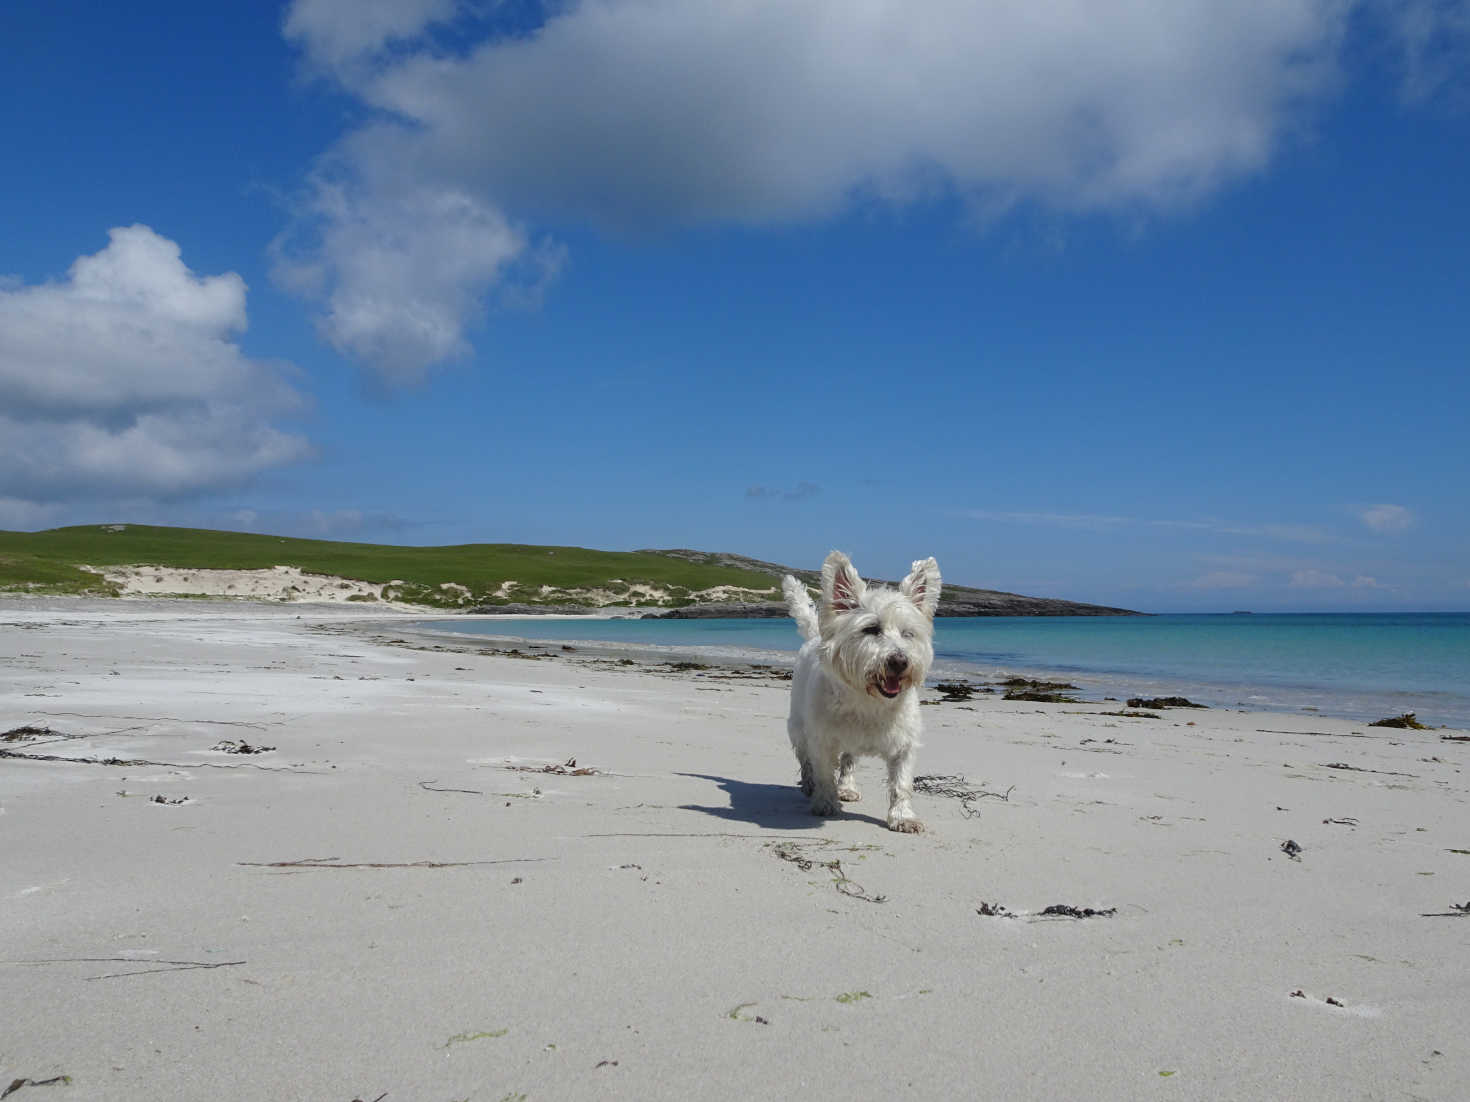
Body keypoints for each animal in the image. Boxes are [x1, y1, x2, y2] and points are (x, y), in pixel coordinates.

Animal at [782, 552, 940, 834]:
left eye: (908, 634)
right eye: (872, 629)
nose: (900, 661)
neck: (869, 701)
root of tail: (814, 636)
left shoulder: (904, 745)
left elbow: (901, 784)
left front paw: (903, 817)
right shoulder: (822, 738)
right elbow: (823, 772)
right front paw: (825, 803)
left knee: (848, 761)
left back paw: (846, 788)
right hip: (798, 725)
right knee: (804, 758)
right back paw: (810, 785)